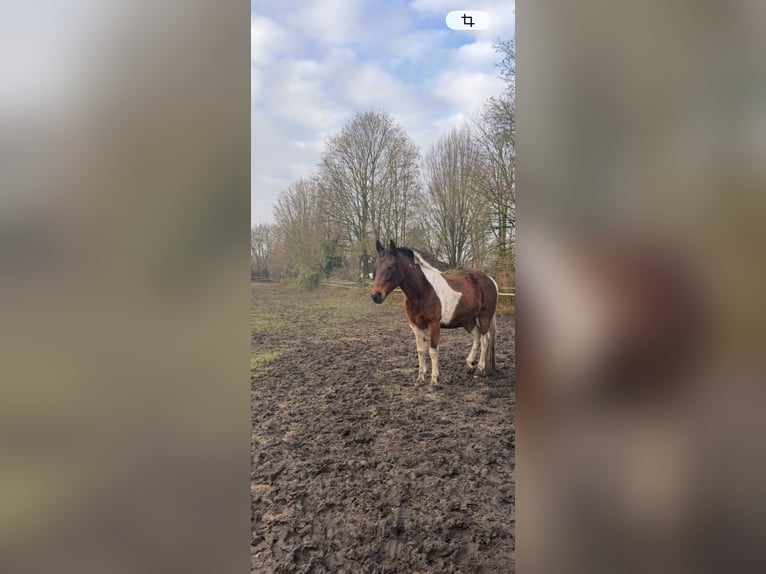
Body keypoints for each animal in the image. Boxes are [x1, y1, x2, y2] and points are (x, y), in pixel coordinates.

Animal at [370, 239, 499, 386]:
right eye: (375, 267)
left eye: (390, 267)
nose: (376, 295)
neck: (423, 290)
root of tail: (490, 279)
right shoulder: (416, 326)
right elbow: (421, 350)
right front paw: (420, 378)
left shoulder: (434, 325)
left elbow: (433, 351)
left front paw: (434, 380)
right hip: (468, 320)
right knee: (477, 338)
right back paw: (469, 364)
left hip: (484, 317)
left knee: (484, 340)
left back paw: (479, 369)